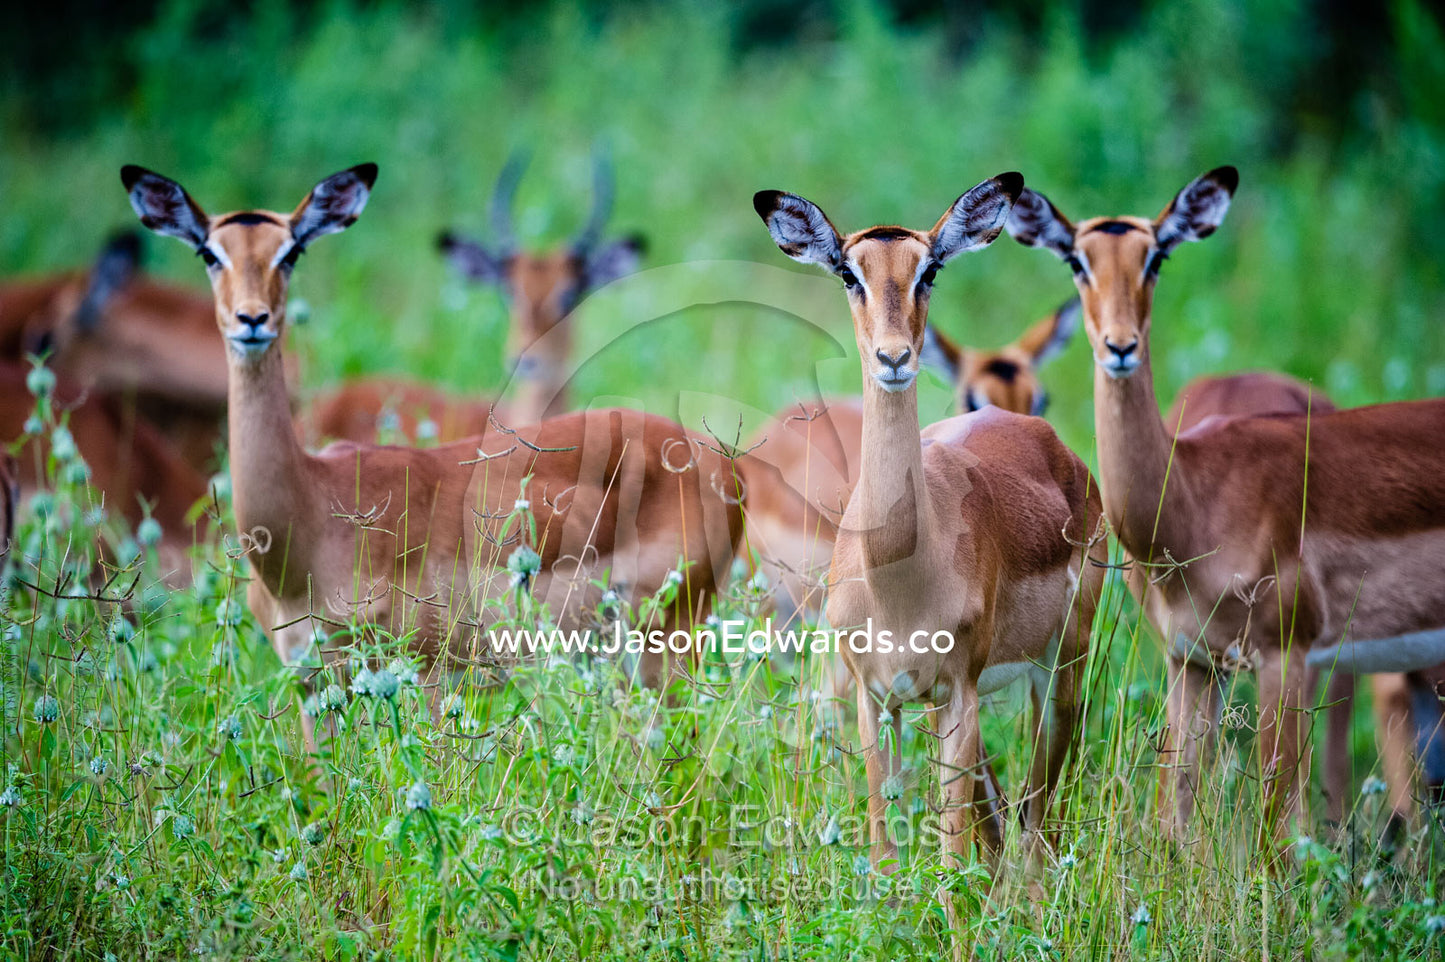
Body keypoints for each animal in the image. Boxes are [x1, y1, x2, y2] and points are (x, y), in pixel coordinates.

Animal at [753, 177, 1106, 881]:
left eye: (930, 269)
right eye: (849, 273)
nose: (894, 357)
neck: (897, 579)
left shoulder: (957, 696)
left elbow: (949, 854)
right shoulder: (876, 698)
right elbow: (885, 849)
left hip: (1059, 672)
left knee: (1038, 818)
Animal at [1007, 166, 1445, 846]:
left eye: (1157, 255)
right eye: (1076, 259)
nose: (1119, 346)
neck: (1194, 501)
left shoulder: (1284, 656)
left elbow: (1276, 836)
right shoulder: (1189, 661)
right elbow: (1175, 822)